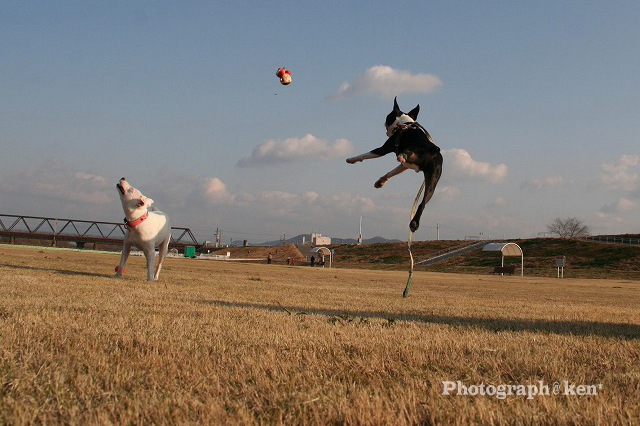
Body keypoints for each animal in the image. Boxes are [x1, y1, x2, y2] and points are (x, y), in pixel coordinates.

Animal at [346, 97, 443, 232]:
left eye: (387, 117)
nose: (384, 124)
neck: (405, 123)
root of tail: (432, 149)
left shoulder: (383, 149)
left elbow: (366, 154)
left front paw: (352, 159)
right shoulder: (405, 166)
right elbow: (391, 172)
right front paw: (381, 181)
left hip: (415, 152)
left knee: (407, 153)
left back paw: (402, 155)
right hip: (433, 179)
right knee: (423, 202)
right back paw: (414, 223)